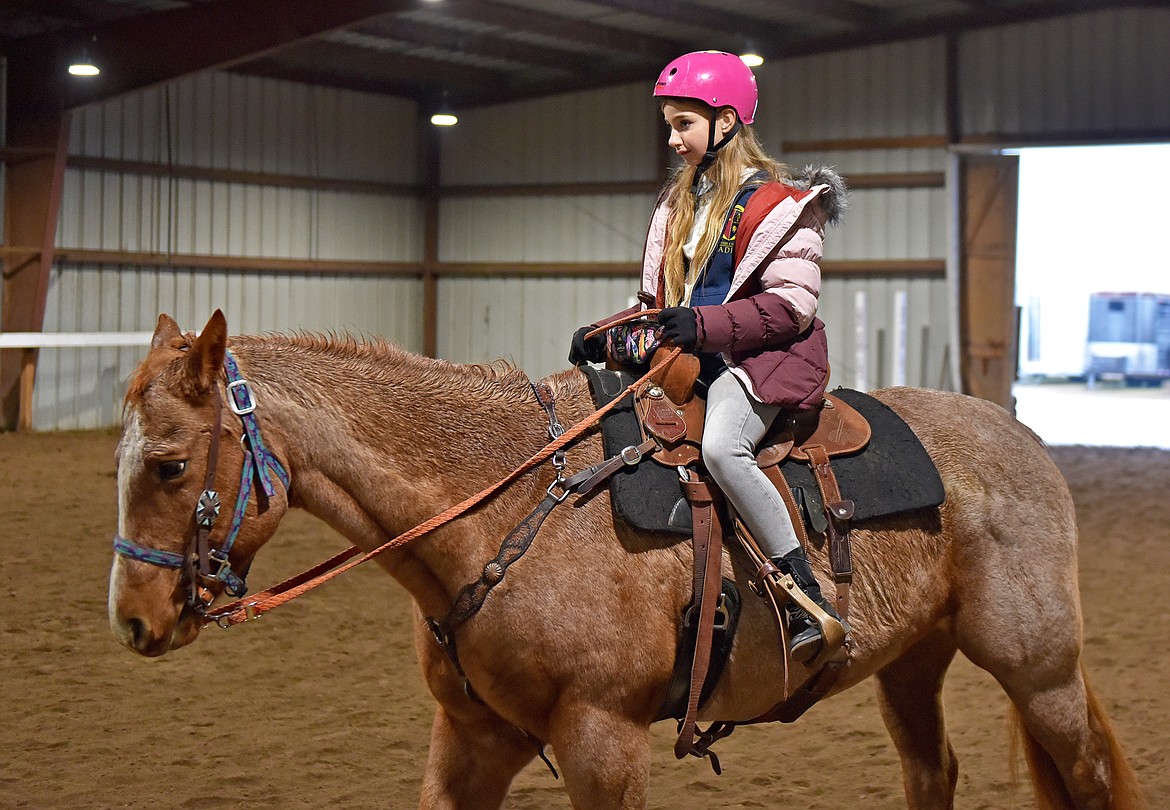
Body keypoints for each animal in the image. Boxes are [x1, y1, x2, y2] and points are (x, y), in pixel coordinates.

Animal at [107, 311, 1141, 809]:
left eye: (168, 465)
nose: (133, 619)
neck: (505, 504)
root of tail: (1017, 435)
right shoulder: (473, 739)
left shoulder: (603, 741)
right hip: (913, 665)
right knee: (935, 773)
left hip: (1039, 668)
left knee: (1087, 773)